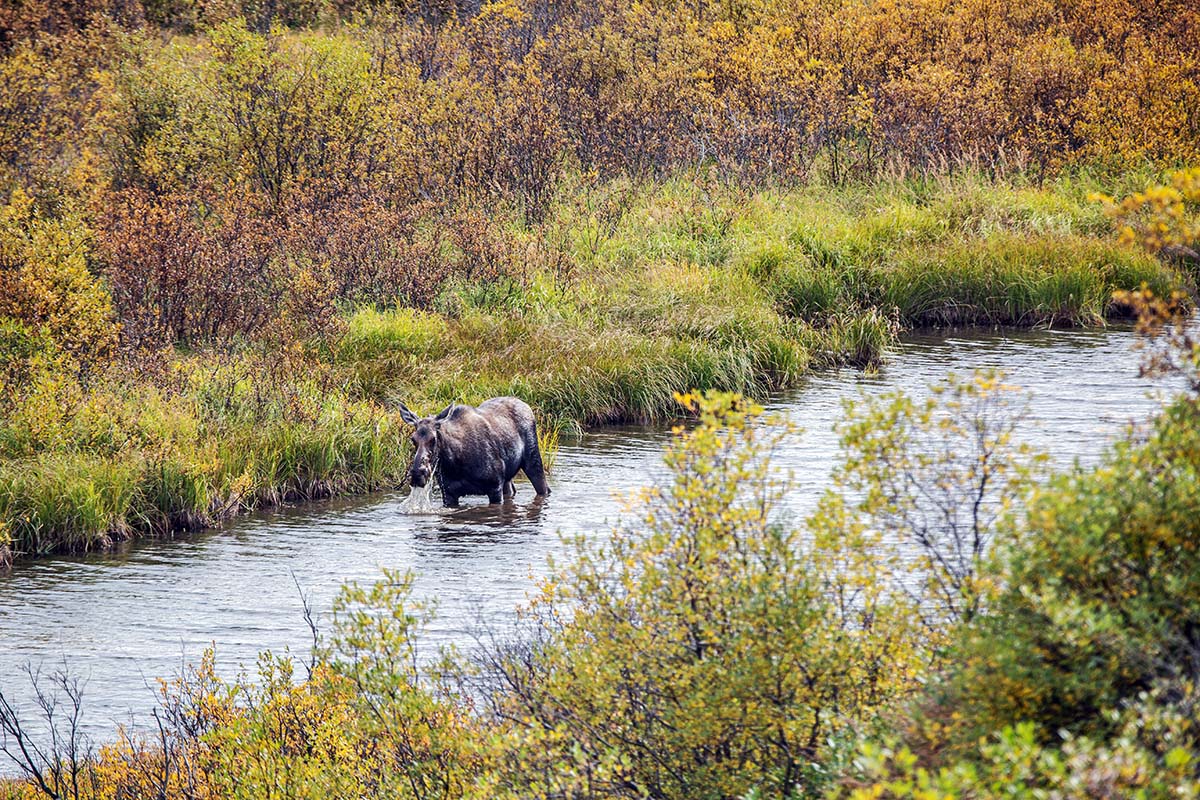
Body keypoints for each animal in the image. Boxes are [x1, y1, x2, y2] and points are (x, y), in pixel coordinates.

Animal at [400, 395, 554, 506]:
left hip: (533, 460)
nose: (417, 473)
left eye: (433, 439)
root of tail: (527, 406)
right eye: (413, 439)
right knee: (512, 490)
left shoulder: (494, 488)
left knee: (545, 489)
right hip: (507, 478)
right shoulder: (449, 494)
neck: (455, 462)